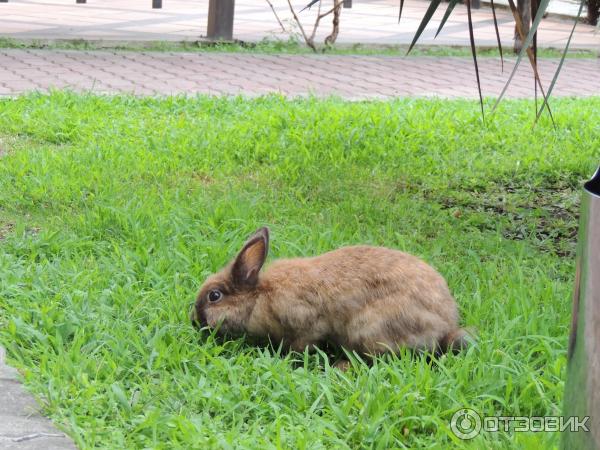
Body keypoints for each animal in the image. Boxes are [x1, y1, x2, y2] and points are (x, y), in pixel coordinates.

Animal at [191, 227, 468, 356]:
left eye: (214, 296)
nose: (195, 321)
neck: (259, 296)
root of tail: (445, 326)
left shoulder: (308, 324)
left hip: (368, 328)